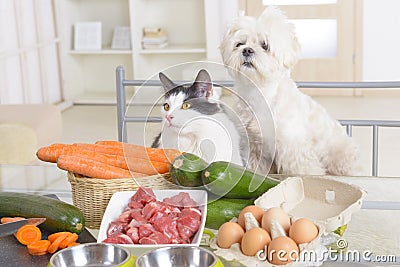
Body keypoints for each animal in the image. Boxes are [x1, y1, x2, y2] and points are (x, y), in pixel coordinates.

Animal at [220, 5, 360, 176]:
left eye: (265, 45)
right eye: (239, 44)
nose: (247, 50)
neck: (260, 92)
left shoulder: (293, 148)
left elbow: (304, 169)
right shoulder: (255, 148)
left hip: (341, 158)